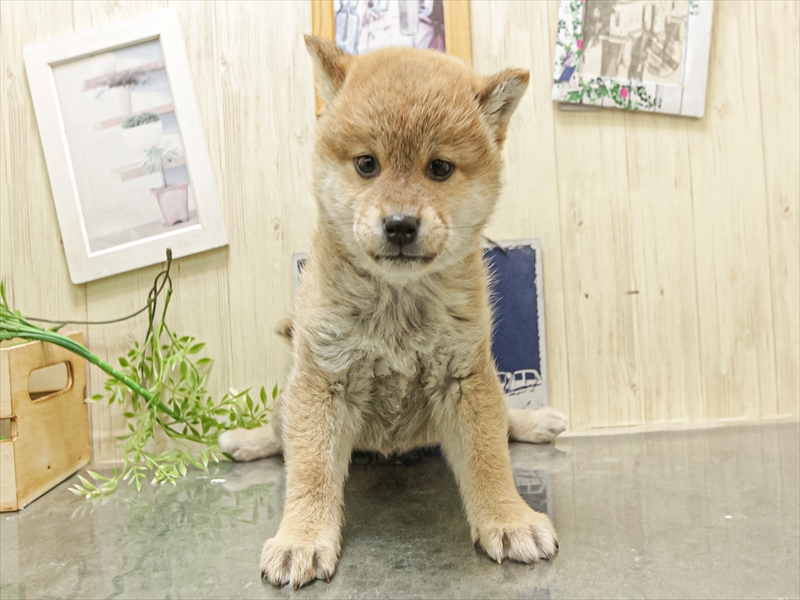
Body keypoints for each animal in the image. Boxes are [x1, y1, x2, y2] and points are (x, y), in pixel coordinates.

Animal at [219, 34, 568, 588]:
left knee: (505, 422)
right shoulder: (323, 380)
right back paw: (244, 441)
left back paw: (535, 421)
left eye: (439, 168)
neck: (397, 304)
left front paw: (509, 519)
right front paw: (301, 538)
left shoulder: (465, 377)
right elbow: (310, 469)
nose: (400, 224)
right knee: (280, 434)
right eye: (367, 164)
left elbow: (488, 456)